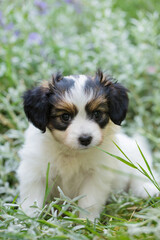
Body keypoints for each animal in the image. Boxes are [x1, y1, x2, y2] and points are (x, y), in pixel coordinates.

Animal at [17, 69, 158, 219]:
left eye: (97, 114)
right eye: (65, 117)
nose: (85, 139)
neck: (71, 152)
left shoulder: (95, 176)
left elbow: (89, 202)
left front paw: (86, 221)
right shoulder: (35, 171)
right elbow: (32, 200)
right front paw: (29, 219)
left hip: (135, 157)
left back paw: (148, 189)